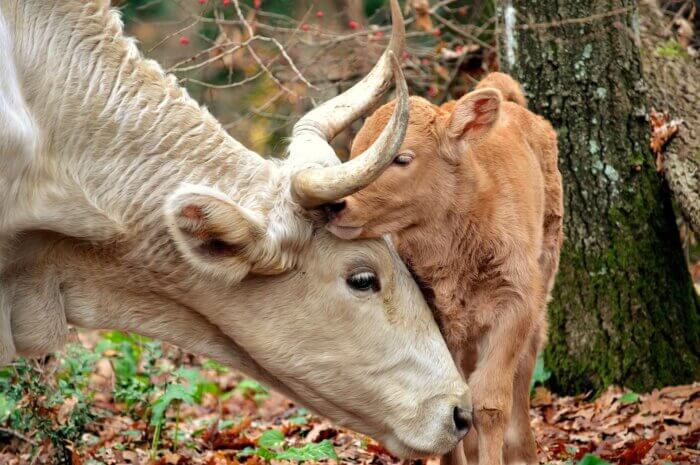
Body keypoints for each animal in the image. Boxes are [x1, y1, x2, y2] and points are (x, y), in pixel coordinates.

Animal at [328, 72, 564, 464]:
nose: (335, 204)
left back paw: (524, 452)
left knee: (525, 367)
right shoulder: (434, 313)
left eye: (402, 158)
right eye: (355, 152)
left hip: (543, 280)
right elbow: (451, 401)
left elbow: (489, 402)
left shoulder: (515, 304)